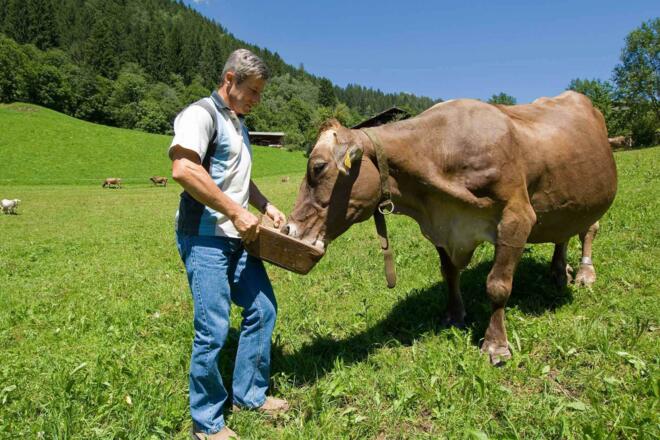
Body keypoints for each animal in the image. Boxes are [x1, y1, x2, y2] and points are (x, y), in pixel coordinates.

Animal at [283, 91, 617, 365]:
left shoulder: (517, 217)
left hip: (594, 198)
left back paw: (584, 273)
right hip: (565, 199)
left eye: (318, 168)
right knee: (563, 234)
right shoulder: (442, 228)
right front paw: (454, 315)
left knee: (589, 229)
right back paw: (559, 272)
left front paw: (496, 345)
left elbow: (497, 286)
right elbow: (449, 274)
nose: (289, 229)